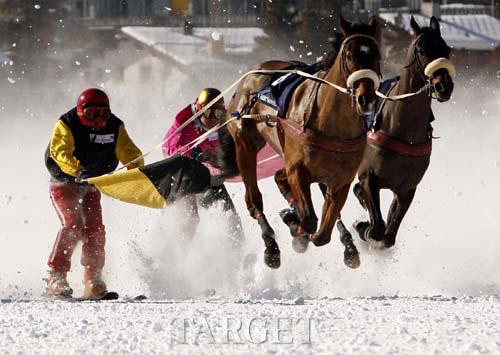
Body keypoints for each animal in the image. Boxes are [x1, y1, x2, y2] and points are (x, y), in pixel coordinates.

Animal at [221, 15, 380, 268]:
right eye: (349, 54)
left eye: (376, 55)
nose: (366, 98)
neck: (332, 122)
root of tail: (251, 76)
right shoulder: (298, 171)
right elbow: (309, 221)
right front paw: (294, 223)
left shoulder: (340, 180)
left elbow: (323, 232)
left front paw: (344, 245)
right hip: (245, 145)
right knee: (254, 200)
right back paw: (271, 245)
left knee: (280, 179)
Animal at [338, 16, 456, 250]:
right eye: (421, 50)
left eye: (446, 49)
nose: (443, 86)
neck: (404, 131)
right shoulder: (369, 177)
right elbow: (376, 226)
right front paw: (363, 227)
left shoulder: (406, 189)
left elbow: (388, 236)